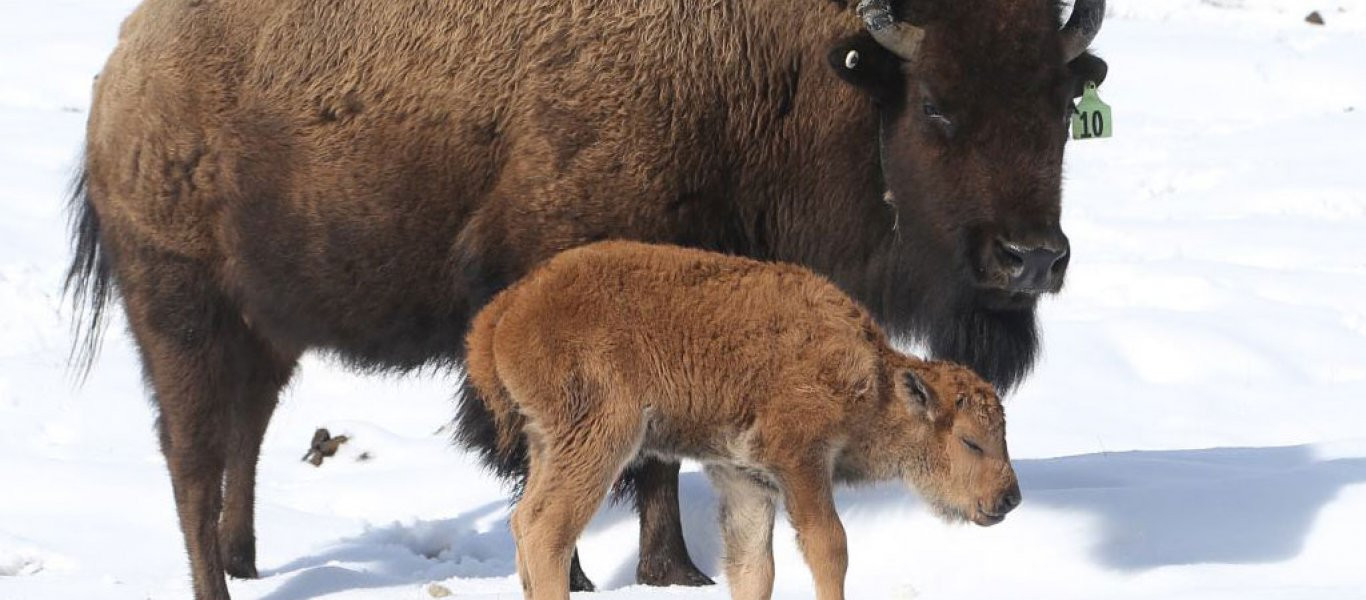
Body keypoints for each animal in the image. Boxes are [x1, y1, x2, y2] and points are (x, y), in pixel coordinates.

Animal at [464, 240, 1021, 600]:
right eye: (972, 441)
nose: (1009, 498)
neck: (878, 381)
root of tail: (507, 308)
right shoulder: (801, 462)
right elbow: (829, 546)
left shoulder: (744, 479)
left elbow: (755, 567)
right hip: (599, 441)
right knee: (547, 531)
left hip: (546, 443)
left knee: (523, 522)